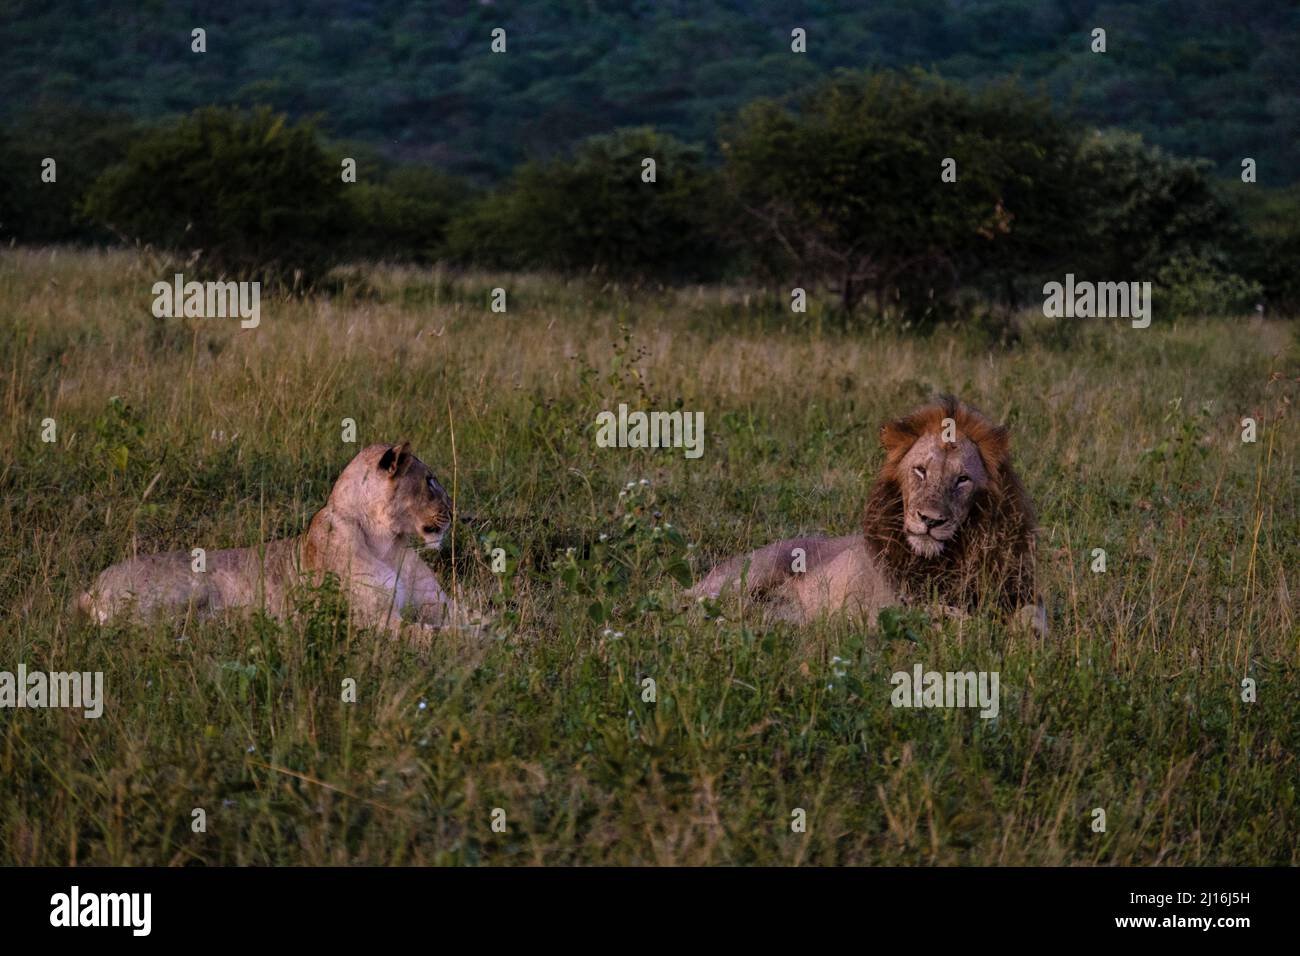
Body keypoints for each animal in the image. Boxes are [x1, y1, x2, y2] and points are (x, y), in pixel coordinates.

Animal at [77, 442, 483, 634]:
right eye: (430, 481)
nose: (455, 511)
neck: (390, 544)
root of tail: (90, 589)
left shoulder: (441, 605)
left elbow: (479, 616)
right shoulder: (374, 622)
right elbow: (434, 637)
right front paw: (477, 643)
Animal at [691, 398, 1045, 632]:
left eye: (962, 480)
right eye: (920, 470)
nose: (930, 520)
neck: (951, 555)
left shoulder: (1020, 589)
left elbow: (1035, 618)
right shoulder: (889, 607)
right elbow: (941, 614)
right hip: (748, 574)